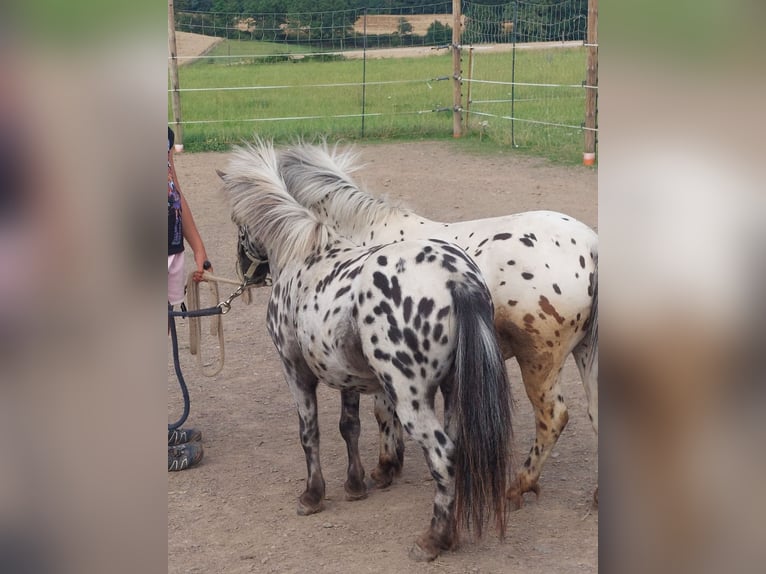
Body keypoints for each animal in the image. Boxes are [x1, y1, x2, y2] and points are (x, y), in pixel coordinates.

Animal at [219, 140, 512, 564]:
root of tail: (457, 279)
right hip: (454, 391)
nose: (244, 271)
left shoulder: (295, 371)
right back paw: (451, 532)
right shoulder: (347, 377)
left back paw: (433, 539)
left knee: (444, 454)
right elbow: (349, 426)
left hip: (411, 399)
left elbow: (310, 432)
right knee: (456, 452)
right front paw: (356, 485)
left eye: (237, 222)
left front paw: (312, 496)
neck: (304, 252)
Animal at [280, 141, 604, 508]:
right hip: (584, 351)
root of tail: (590, 245)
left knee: (552, 418)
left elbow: (382, 413)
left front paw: (385, 467)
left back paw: (518, 486)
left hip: (539, 361)